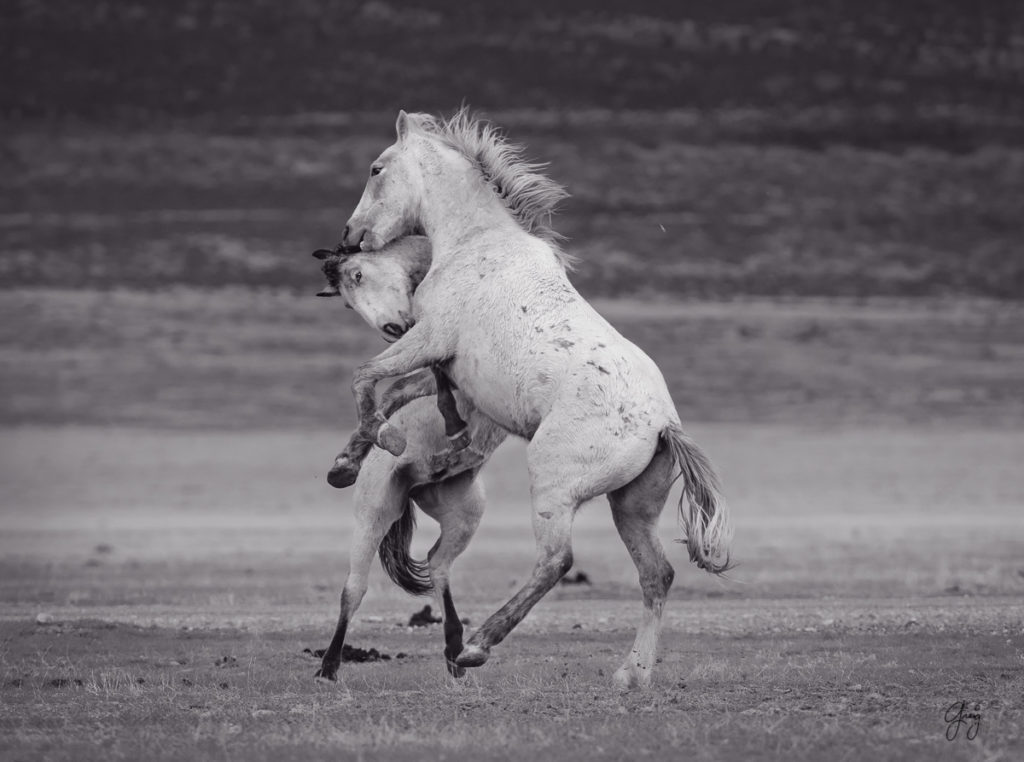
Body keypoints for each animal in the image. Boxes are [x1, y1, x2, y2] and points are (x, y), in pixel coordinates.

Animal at [309, 237, 505, 680]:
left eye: (358, 273)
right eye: (345, 301)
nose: (393, 328)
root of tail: (415, 487)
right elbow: (401, 386)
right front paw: (352, 457)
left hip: (464, 518)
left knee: (438, 564)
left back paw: (455, 652)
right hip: (375, 513)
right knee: (354, 588)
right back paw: (329, 665)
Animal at [333, 108, 729, 692]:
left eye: (376, 168)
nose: (350, 236)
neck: (477, 243)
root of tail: (662, 425)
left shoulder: (429, 338)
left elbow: (366, 378)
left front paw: (381, 441)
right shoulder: (449, 368)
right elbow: (405, 392)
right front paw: (354, 458)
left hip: (553, 488)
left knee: (555, 561)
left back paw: (476, 647)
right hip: (631, 506)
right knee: (656, 575)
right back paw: (630, 675)